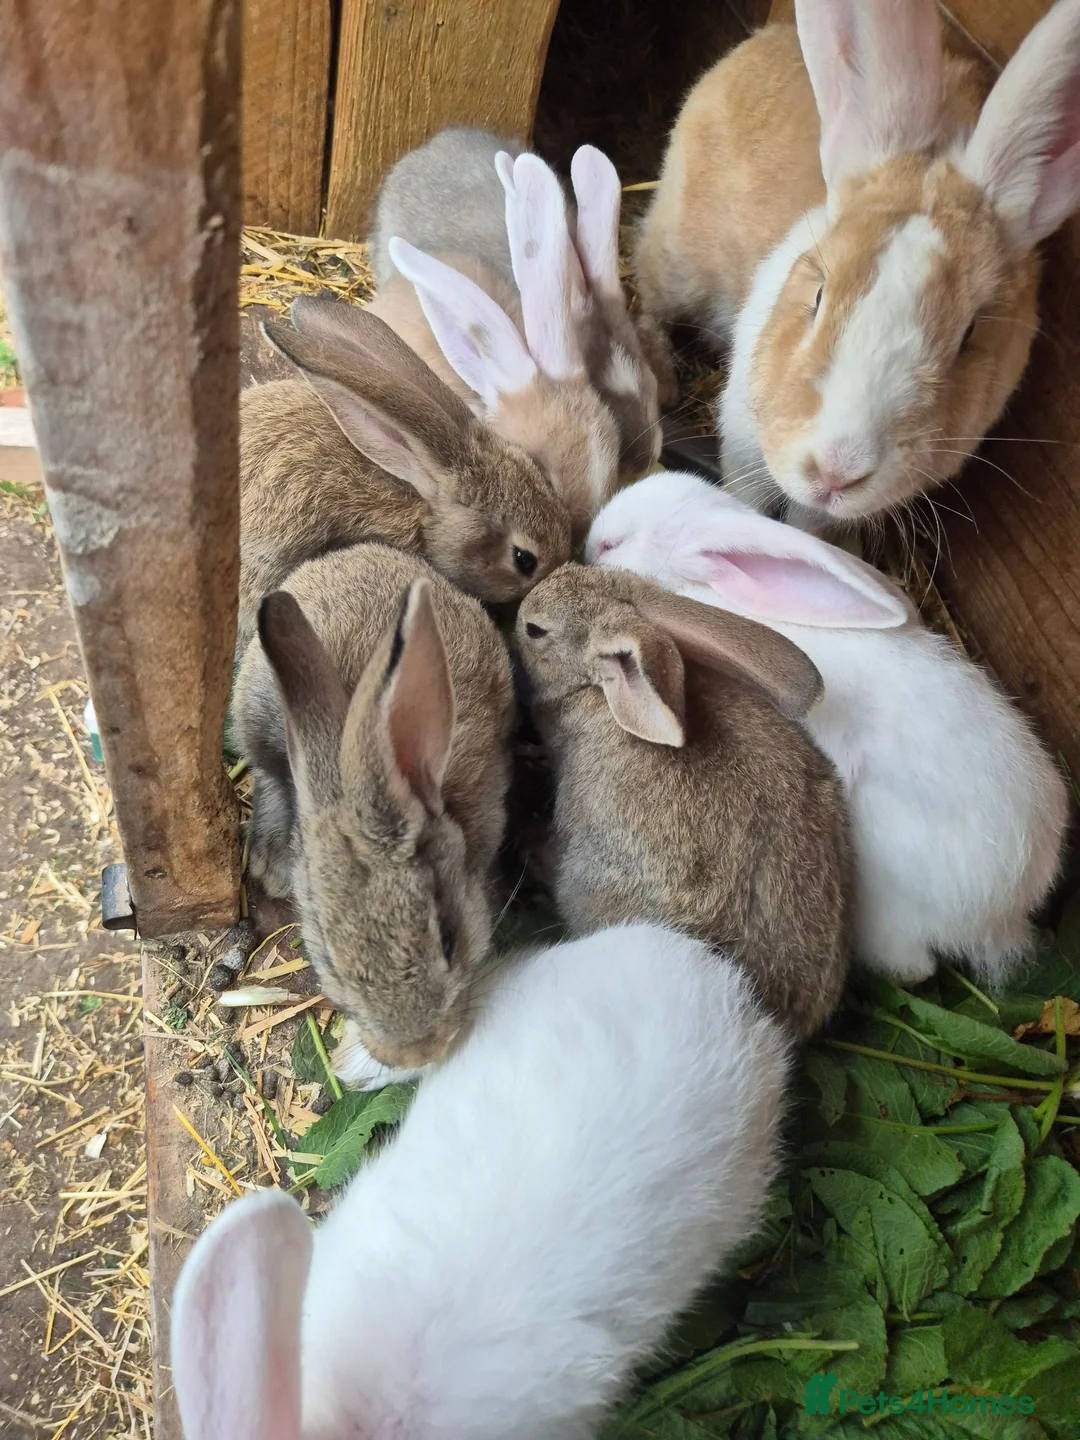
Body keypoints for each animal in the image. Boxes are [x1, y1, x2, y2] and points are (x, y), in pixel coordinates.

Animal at [634, 0, 1080, 531]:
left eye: (968, 337)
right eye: (819, 293)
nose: (836, 470)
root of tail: (765, 38)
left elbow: (809, 526)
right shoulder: (742, 441)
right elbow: (746, 495)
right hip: (676, 261)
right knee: (648, 303)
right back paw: (663, 377)